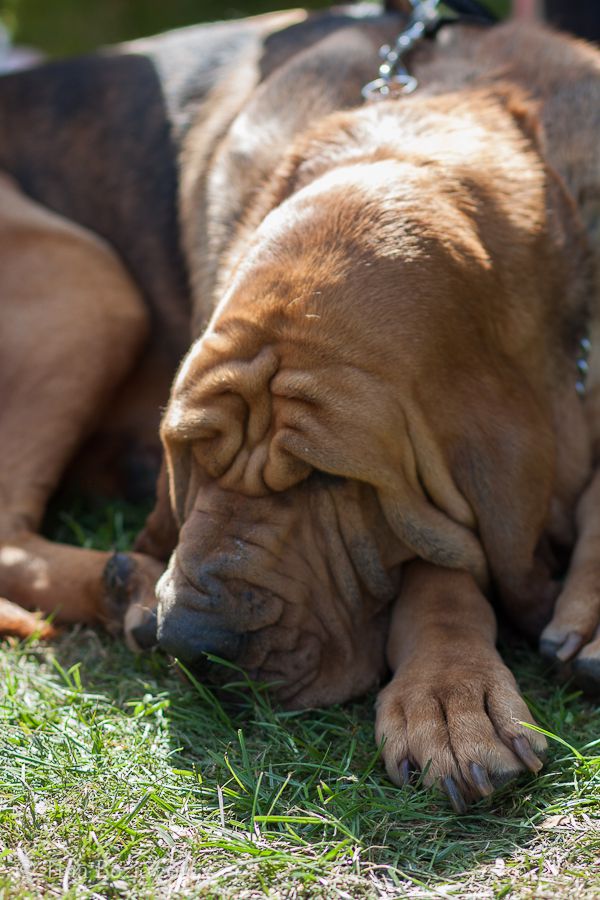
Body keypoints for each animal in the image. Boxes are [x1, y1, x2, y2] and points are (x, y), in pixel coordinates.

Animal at [1, 5, 600, 808]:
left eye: (327, 479)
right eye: (187, 453)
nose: (188, 643)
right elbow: (439, 570)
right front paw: (451, 696)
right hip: (88, 280)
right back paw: (125, 589)